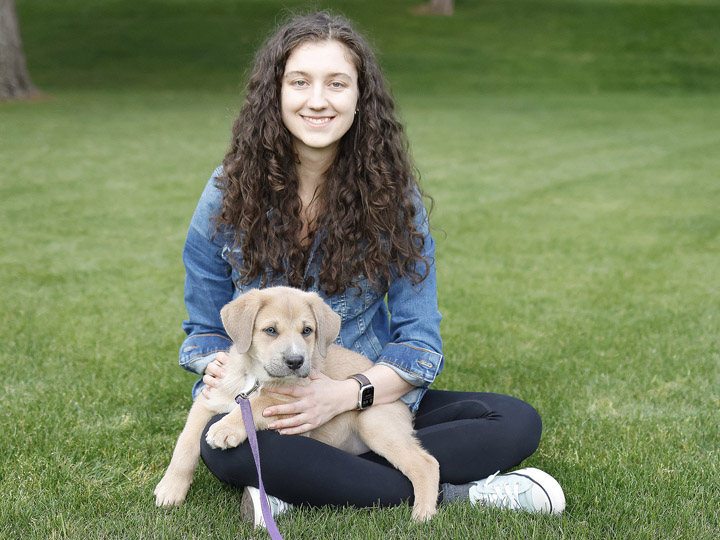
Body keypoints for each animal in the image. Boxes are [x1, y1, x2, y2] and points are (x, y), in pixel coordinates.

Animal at [153, 284, 438, 520]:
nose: (295, 361)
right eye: (270, 330)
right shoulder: (209, 401)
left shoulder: (291, 407)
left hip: (374, 423)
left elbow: (257, 404)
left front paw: (224, 428)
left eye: (307, 331)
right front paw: (170, 489)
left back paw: (423, 514)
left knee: (427, 464)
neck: (254, 379)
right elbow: (185, 444)